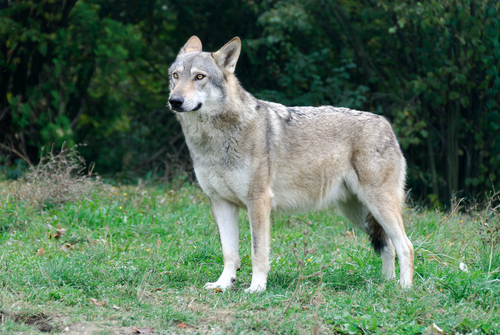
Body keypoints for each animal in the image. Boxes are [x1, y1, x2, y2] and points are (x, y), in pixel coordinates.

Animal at [168, 36, 414, 292]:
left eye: (199, 77)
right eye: (176, 75)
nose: (174, 101)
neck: (214, 139)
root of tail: (386, 124)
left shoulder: (258, 202)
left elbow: (258, 253)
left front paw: (256, 288)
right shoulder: (221, 203)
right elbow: (229, 253)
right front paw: (223, 285)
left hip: (377, 206)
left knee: (406, 245)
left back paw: (403, 289)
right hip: (358, 213)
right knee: (388, 245)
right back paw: (385, 285)